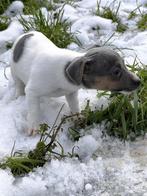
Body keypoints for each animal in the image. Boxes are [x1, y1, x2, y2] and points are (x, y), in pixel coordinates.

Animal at [10, 31, 140, 135]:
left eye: (124, 64)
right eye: (116, 72)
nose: (139, 81)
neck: (64, 72)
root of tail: (26, 34)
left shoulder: (71, 92)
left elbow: (74, 105)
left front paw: (78, 117)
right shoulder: (32, 92)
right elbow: (34, 111)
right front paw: (34, 126)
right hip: (13, 70)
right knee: (18, 83)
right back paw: (18, 95)